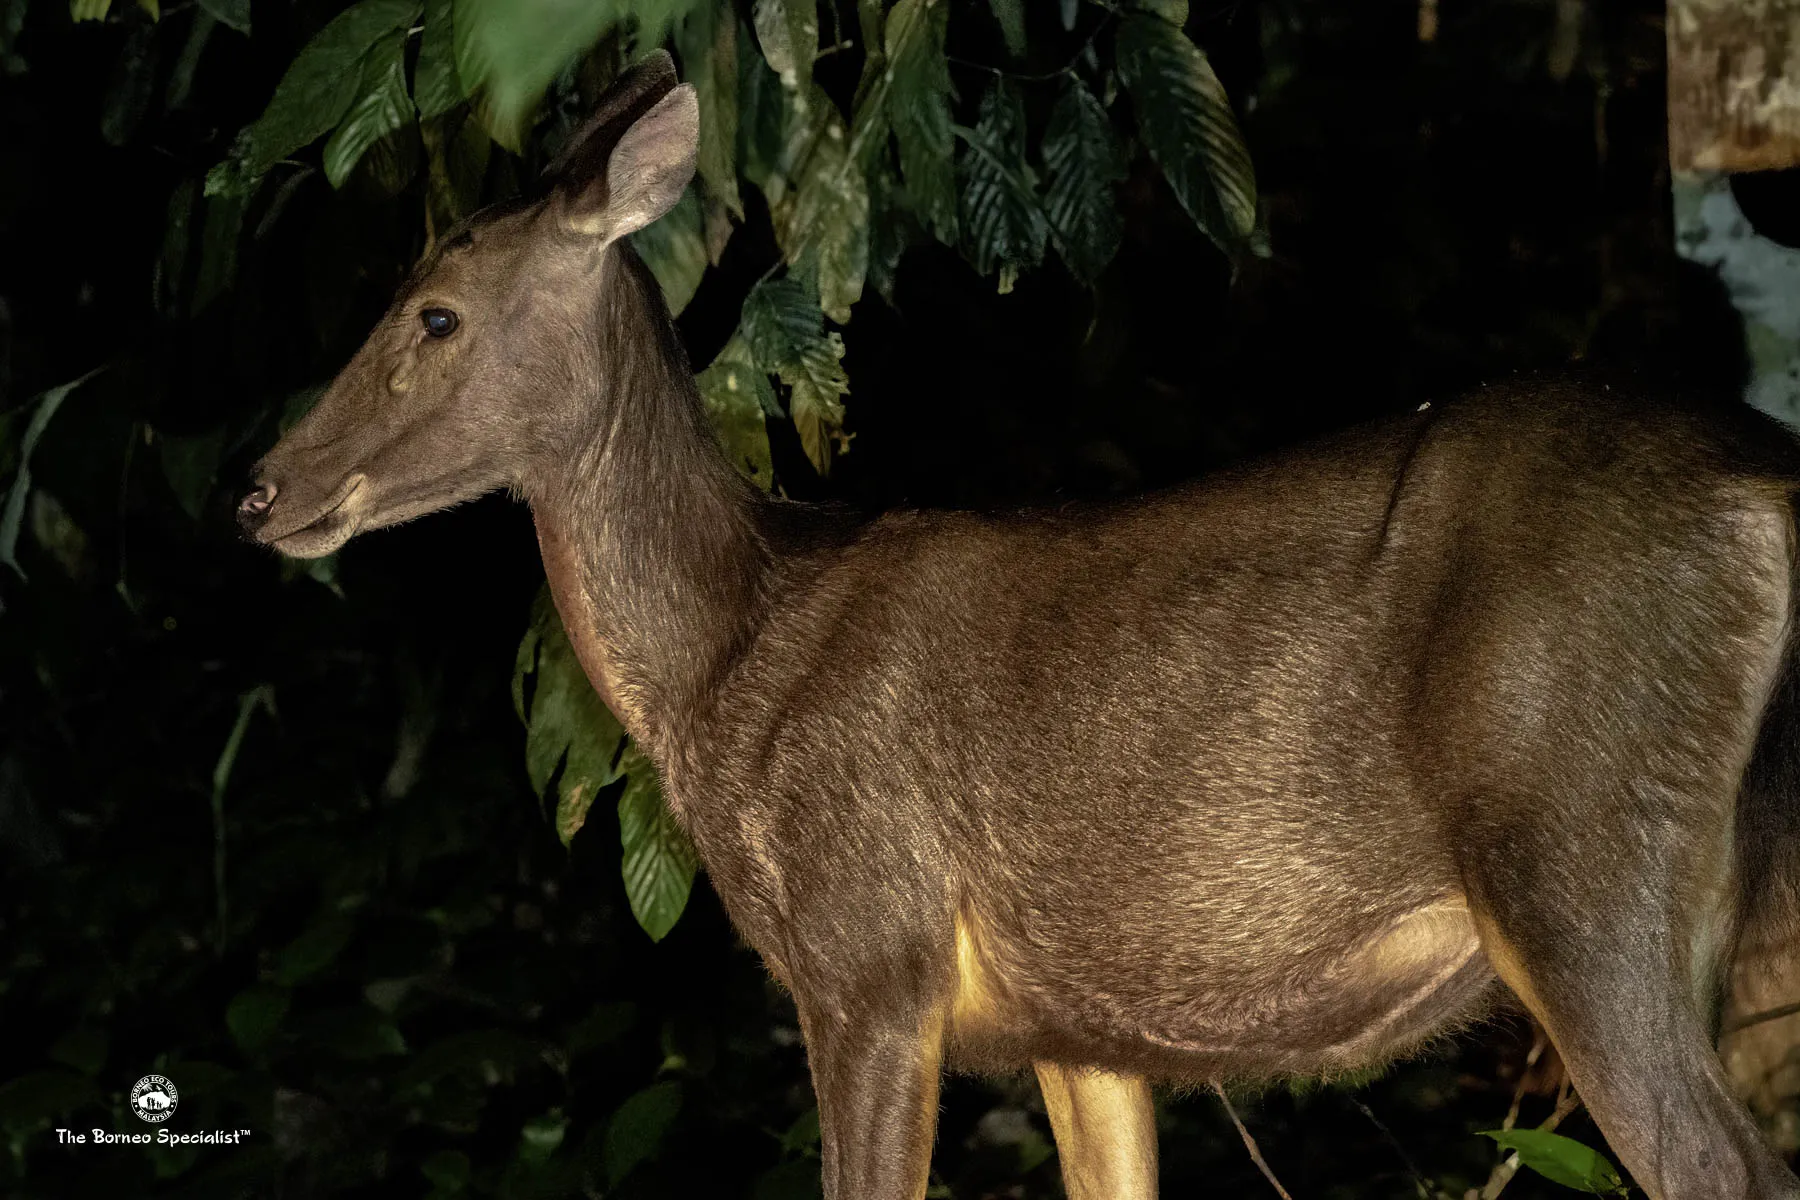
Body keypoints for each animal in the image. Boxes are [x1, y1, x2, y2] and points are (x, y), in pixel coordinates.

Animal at [238, 52, 1800, 1200]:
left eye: (435, 314)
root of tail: (1765, 488)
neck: (726, 657)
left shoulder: (869, 950)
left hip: (1583, 856)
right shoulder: (1081, 1031)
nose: (263, 491)